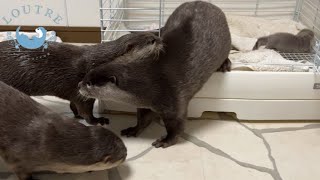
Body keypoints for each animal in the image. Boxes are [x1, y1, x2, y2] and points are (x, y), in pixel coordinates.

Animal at [0, 32, 161, 125]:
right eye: (151, 41)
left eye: (153, 34)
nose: (160, 39)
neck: (97, 62)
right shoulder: (83, 90)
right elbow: (86, 111)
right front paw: (97, 120)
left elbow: (74, 105)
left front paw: (77, 116)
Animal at [79, 1, 231, 148]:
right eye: (85, 77)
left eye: (90, 83)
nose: (79, 85)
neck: (150, 82)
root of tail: (209, 4)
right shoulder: (144, 104)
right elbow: (143, 118)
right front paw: (133, 129)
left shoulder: (174, 103)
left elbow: (177, 126)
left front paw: (166, 140)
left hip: (226, 41)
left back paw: (225, 64)